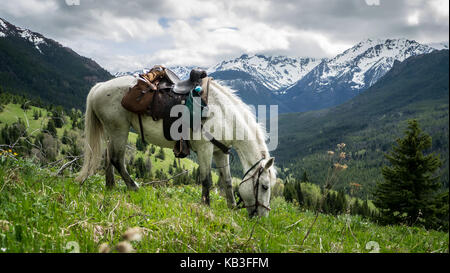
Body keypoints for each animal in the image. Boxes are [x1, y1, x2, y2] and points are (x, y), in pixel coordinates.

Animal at [75, 74, 276, 215]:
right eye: (265, 187)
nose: (261, 217)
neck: (222, 114)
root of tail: (100, 86)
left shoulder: (220, 152)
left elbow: (226, 180)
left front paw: (231, 207)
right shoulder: (204, 149)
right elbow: (206, 179)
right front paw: (206, 206)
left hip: (112, 131)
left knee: (108, 157)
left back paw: (111, 187)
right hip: (120, 130)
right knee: (117, 159)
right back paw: (134, 187)